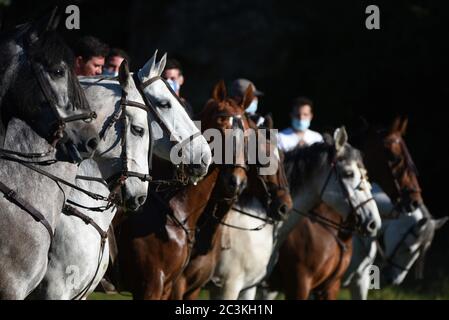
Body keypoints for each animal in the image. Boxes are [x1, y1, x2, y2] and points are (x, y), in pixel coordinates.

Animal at [114, 80, 254, 300]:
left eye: (248, 132)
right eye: (221, 124)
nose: (237, 182)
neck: (173, 209)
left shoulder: (171, 287)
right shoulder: (151, 286)